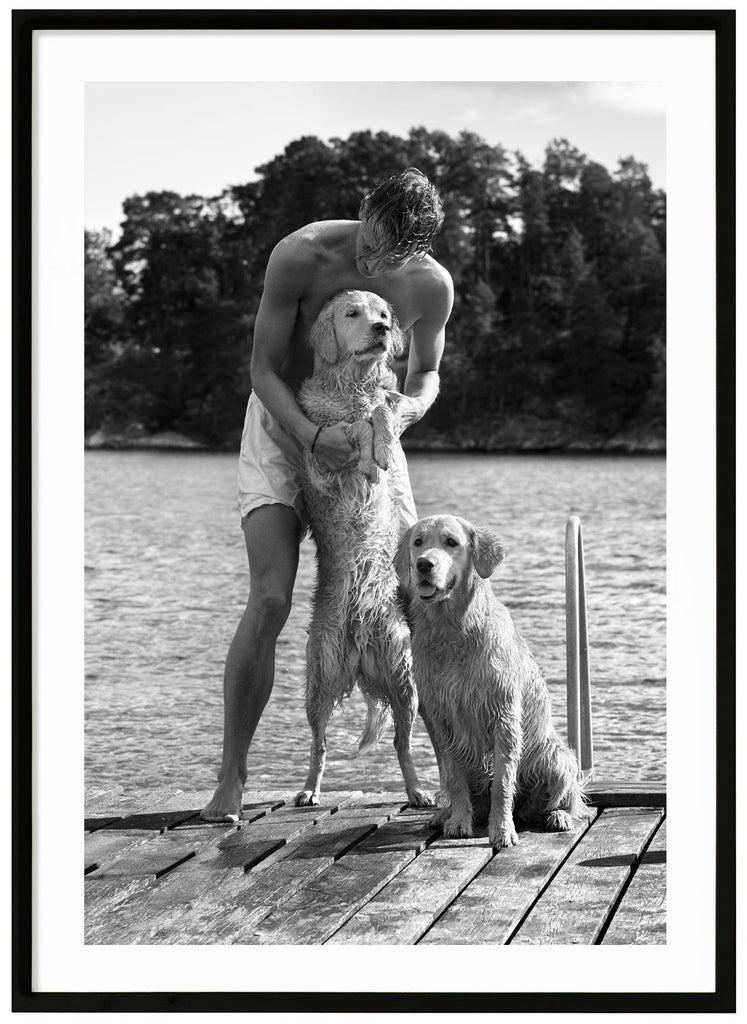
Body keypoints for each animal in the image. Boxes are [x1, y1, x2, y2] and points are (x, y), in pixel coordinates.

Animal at [293, 288, 430, 806]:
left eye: (385, 313)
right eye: (353, 313)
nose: (382, 329)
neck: (351, 386)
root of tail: (358, 651)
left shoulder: (385, 401)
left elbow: (382, 410)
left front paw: (383, 446)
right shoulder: (318, 462)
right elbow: (350, 427)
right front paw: (368, 449)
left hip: (405, 675)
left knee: (402, 744)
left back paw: (418, 790)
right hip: (319, 677)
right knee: (318, 744)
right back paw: (308, 790)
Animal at [393, 512, 586, 847]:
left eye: (451, 542)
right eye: (418, 542)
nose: (423, 564)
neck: (453, 631)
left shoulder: (503, 717)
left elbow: (503, 783)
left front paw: (502, 829)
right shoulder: (442, 718)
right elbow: (455, 779)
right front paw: (458, 820)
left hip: (557, 756)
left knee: (564, 800)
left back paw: (558, 816)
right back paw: (445, 815)